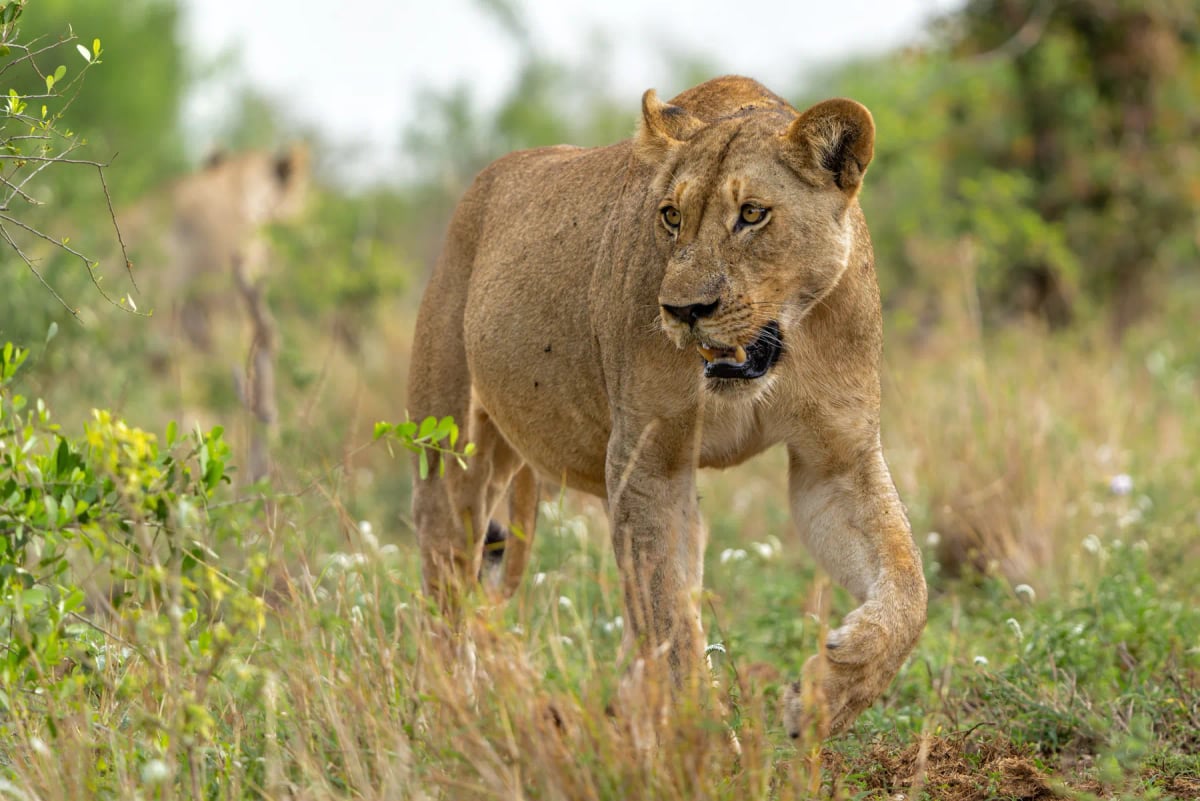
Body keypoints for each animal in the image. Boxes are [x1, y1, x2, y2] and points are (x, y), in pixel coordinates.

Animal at [407, 76, 927, 737]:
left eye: (752, 214)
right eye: (671, 216)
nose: (683, 311)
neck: (783, 347)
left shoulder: (835, 462)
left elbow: (908, 586)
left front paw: (825, 695)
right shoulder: (648, 460)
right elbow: (670, 618)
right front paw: (700, 735)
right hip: (452, 456)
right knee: (447, 592)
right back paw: (448, 719)